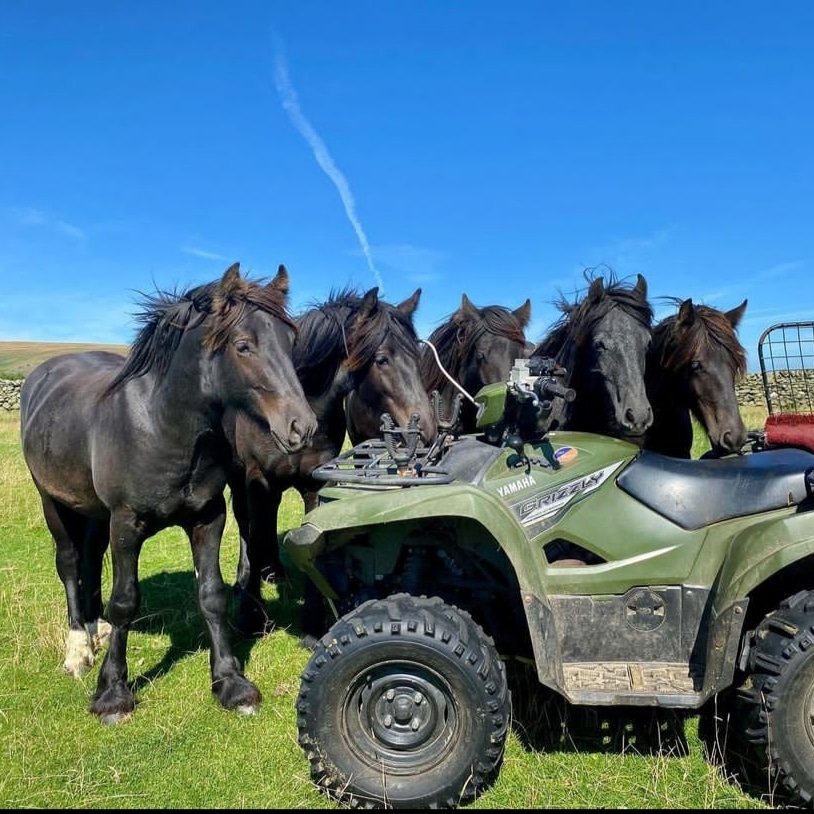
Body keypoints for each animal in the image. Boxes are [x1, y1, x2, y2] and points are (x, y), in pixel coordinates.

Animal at [19, 262, 317, 723]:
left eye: (290, 342)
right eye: (244, 346)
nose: (302, 427)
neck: (162, 426)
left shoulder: (208, 517)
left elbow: (211, 595)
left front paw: (231, 683)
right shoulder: (126, 523)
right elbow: (125, 601)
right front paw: (112, 693)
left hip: (94, 512)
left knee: (90, 559)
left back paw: (96, 629)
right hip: (54, 502)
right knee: (69, 563)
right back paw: (78, 649)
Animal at [227, 285, 436, 637]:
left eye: (417, 359)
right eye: (381, 359)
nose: (428, 430)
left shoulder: (316, 481)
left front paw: (313, 623)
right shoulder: (257, 478)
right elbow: (253, 539)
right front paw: (250, 617)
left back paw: (275, 570)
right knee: (246, 525)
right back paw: (244, 580)